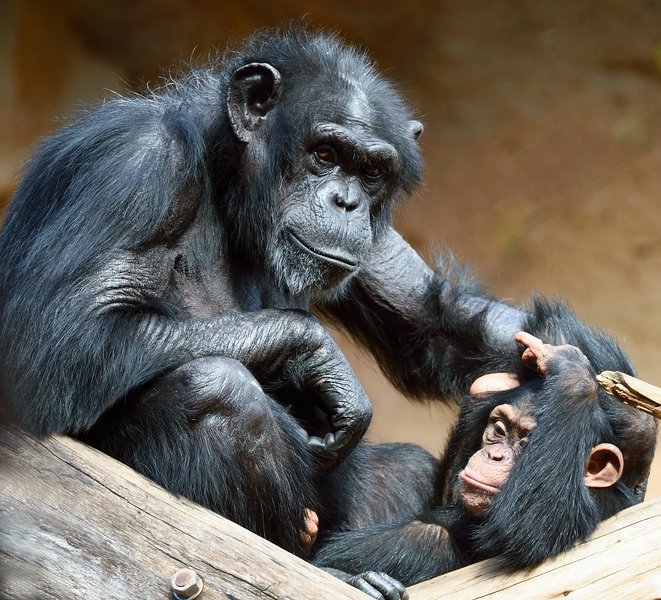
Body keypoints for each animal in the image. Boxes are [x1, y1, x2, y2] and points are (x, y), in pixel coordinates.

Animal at [0, 24, 524, 556]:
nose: (346, 202)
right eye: (325, 154)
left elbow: (431, 318)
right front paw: (319, 357)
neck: (224, 173)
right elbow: (62, 336)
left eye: (372, 172)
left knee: (409, 467)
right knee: (220, 393)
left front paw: (549, 360)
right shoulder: (136, 163)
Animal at [314, 302, 656, 596]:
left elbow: (528, 528)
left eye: (526, 443)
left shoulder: (590, 510)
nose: (495, 455)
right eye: (500, 431)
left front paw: (570, 369)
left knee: (435, 538)